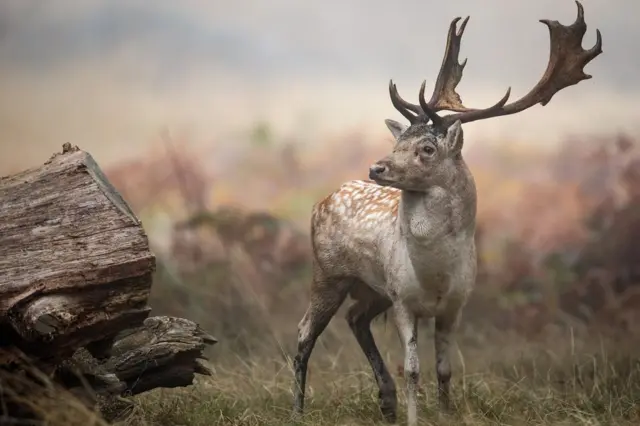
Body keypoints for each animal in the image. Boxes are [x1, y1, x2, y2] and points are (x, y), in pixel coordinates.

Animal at [292, 2, 602, 425]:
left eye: (426, 148)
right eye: (398, 141)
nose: (377, 167)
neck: (435, 275)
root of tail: (320, 200)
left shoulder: (455, 305)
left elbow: (444, 369)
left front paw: (444, 413)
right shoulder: (404, 300)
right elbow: (413, 369)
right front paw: (414, 417)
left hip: (372, 290)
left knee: (355, 318)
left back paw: (385, 401)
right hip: (329, 273)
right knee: (304, 332)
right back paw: (298, 409)